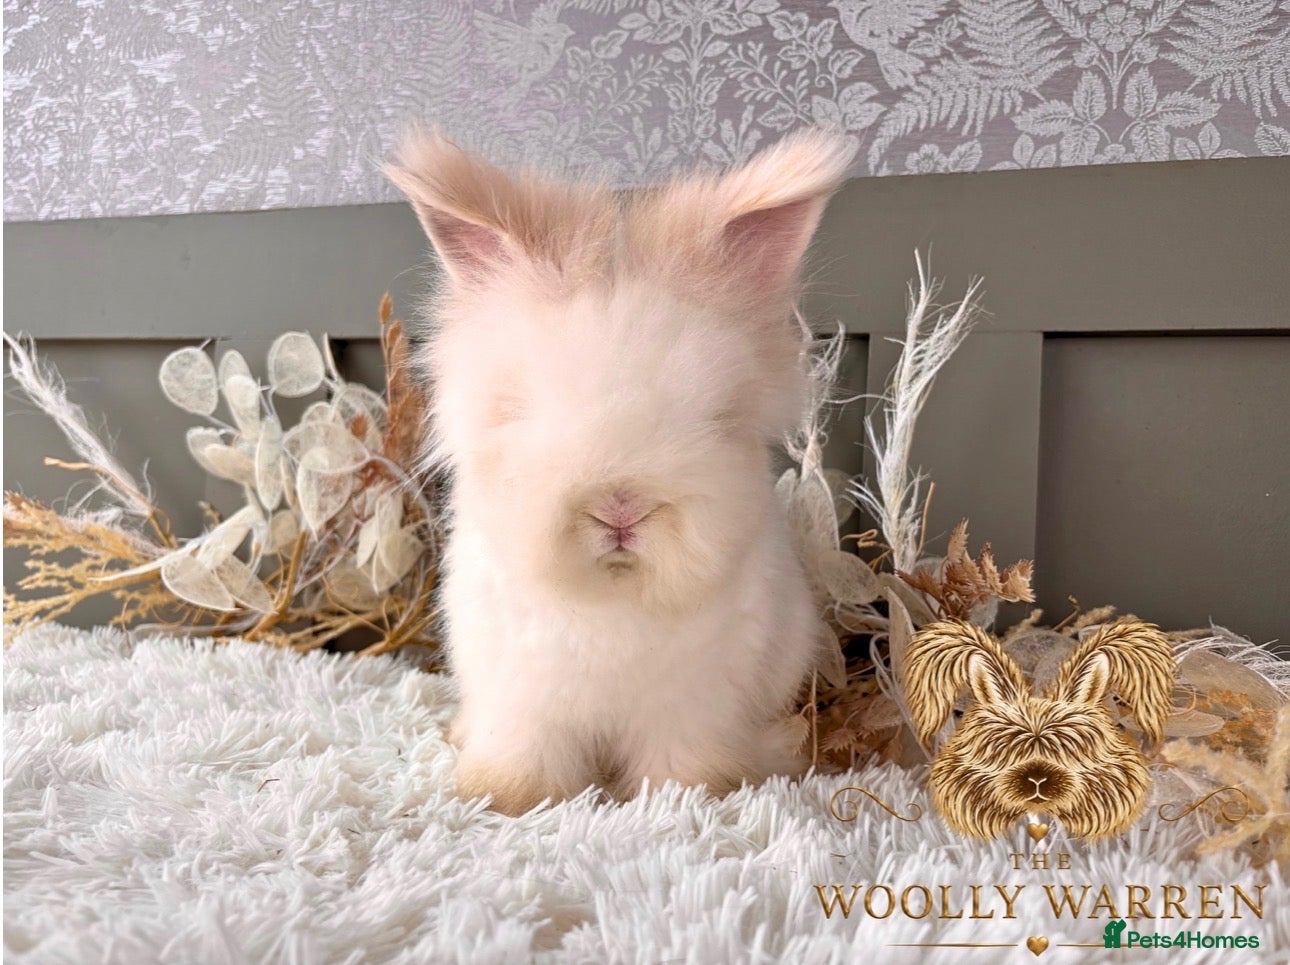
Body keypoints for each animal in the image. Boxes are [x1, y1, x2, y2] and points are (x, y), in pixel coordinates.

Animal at [384, 129, 855, 815]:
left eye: (717, 418)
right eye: (521, 409)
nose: (620, 508)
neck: (610, 603)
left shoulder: (692, 708)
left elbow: (680, 761)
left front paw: (685, 797)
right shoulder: (523, 704)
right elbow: (525, 756)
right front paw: (509, 799)